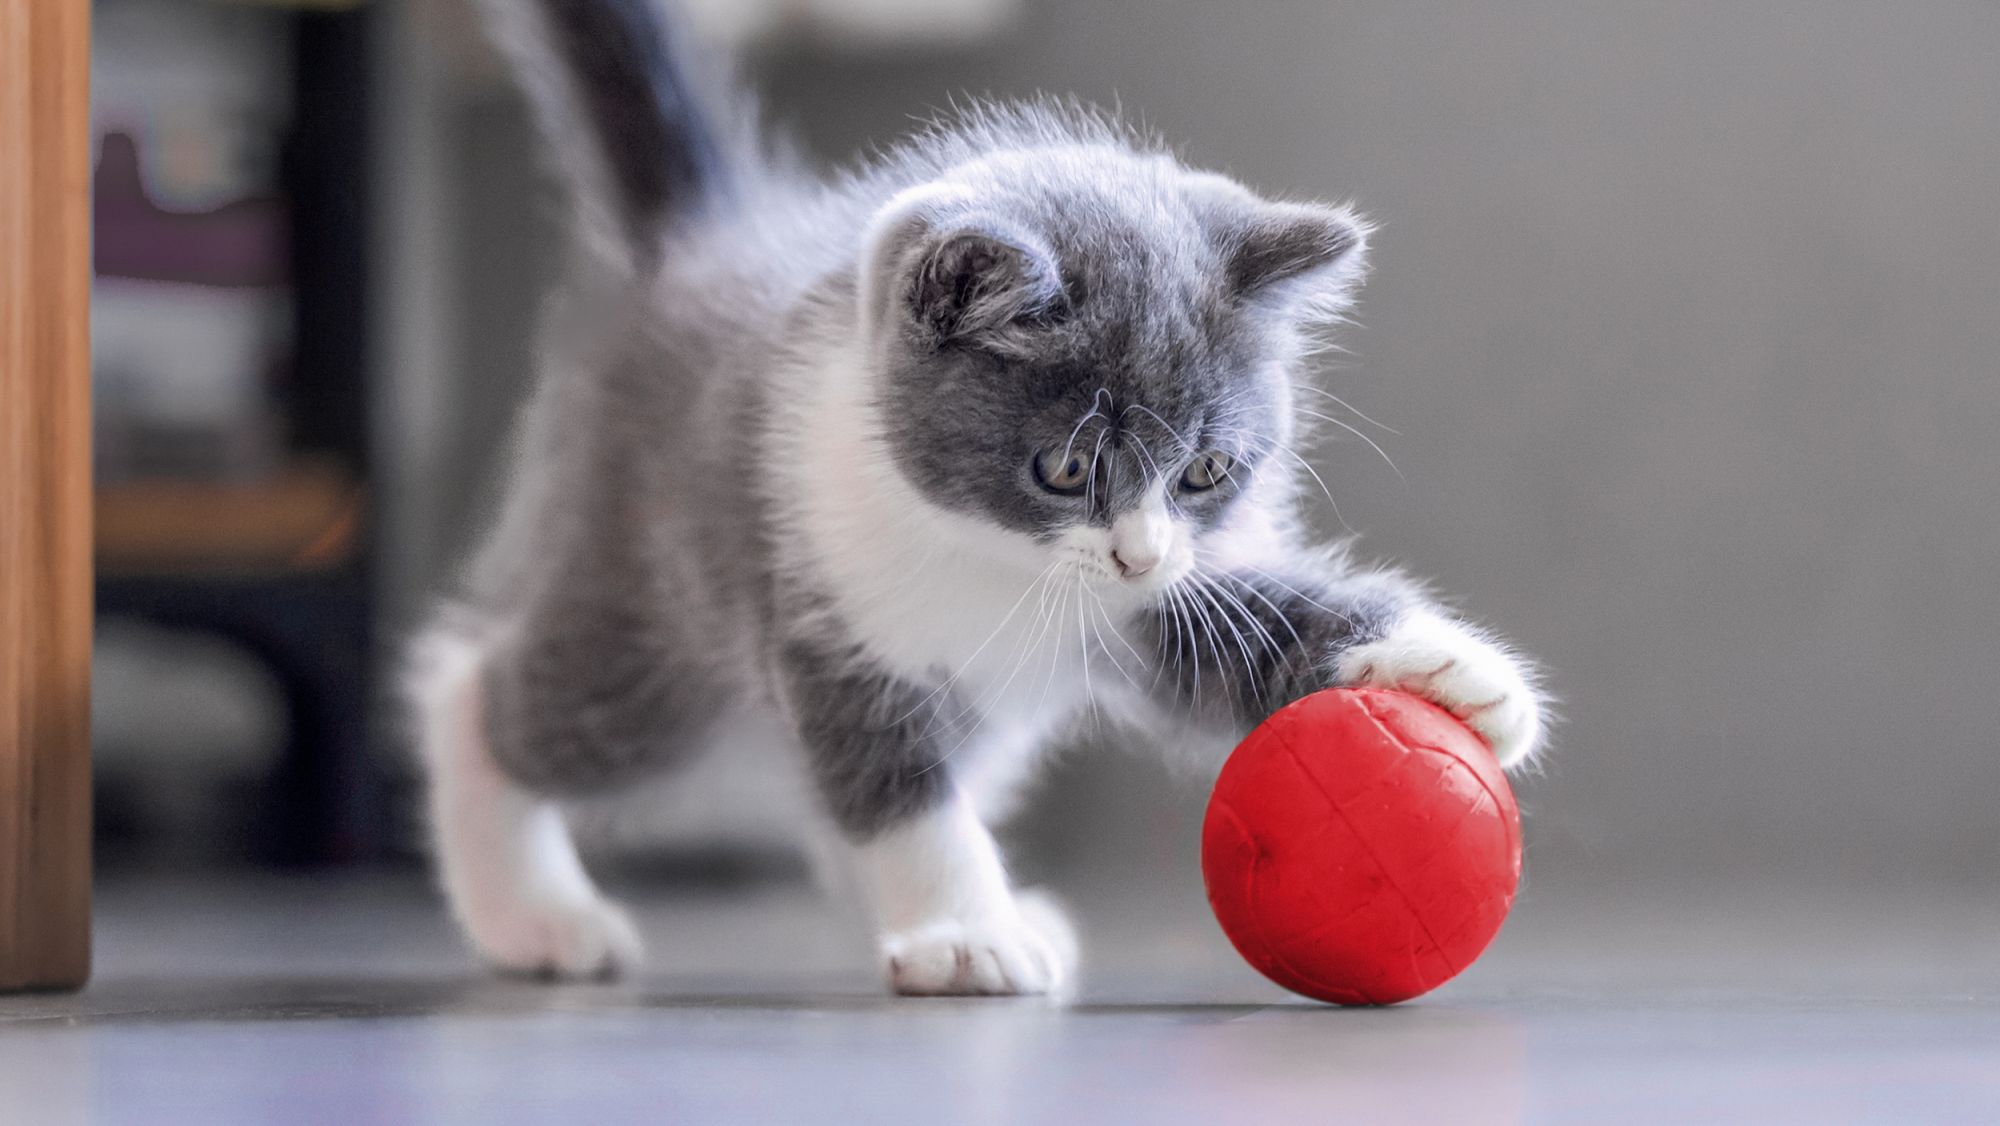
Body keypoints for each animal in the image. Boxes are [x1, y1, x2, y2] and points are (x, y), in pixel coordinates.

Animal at [410, 0, 1544, 996]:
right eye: (1067, 469)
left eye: (1205, 473)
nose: (1136, 552)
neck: (995, 557)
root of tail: (703, 245)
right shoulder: (827, 607)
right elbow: (896, 783)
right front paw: (961, 933)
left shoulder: (1157, 601)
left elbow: (1245, 632)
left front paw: (1455, 672)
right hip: (658, 609)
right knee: (488, 688)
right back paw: (528, 908)